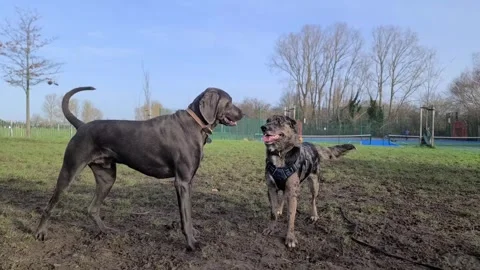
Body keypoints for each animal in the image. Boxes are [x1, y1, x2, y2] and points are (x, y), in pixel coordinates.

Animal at [34, 86, 244, 251]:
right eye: (229, 102)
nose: (243, 114)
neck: (195, 124)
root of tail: (82, 126)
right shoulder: (183, 182)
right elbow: (186, 217)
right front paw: (192, 244)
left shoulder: (187, 182)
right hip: (69, 172)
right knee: (49, 206)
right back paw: (41, 233)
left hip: (107, 177)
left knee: (92, 208)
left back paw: (106, 231)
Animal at [258, 115, 356, 248]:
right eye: (268, 120)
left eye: (279, 121)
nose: (263, 127)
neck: (279, 154)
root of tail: (313, 145)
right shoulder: (271, 189)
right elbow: (273, 213)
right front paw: (271, 228)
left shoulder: (293, 193)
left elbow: (291, 218)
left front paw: (290, 238)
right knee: (283, 197)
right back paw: (280, 209)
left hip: (314, 184)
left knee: (313, 200)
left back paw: (314, 215)